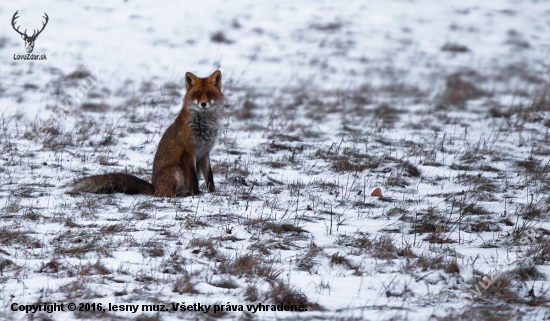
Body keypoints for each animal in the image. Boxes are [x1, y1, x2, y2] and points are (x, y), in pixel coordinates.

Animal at [73, 70, 224, 196]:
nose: (203, 104)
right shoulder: (188, 151)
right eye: (197, 95)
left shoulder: (204, 152)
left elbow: (209, 176)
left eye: (209, 94)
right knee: (166, 194)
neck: (203, 126)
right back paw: (182, 194)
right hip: (176, 171)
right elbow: (193, 178)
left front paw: (213, 192)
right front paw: (197, 193)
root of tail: (153, 187)